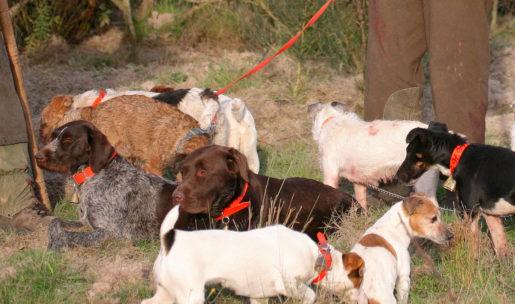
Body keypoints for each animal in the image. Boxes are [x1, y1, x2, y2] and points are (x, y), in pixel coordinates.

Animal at [35, 120, 177, 251]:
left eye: (68, 140)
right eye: (53, 137)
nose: (37, 156)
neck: (91, 175)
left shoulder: (110, 233)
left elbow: (69, 235)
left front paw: (56, 245)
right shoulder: (84, 221)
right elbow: (55, 222)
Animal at [143, 204, 364, 304]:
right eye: (359, 280)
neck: (316, 255)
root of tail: (169, 239)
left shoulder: (260, 296)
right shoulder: (289, 284)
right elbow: (309, 294)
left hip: (166, 293)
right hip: (191, 295)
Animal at [400, 125, 515, 256]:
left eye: (409, 151)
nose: (398, 176)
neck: (458, 157)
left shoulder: (469, 211)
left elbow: (473, 248)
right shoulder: (491, 215)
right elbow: (501, 249)